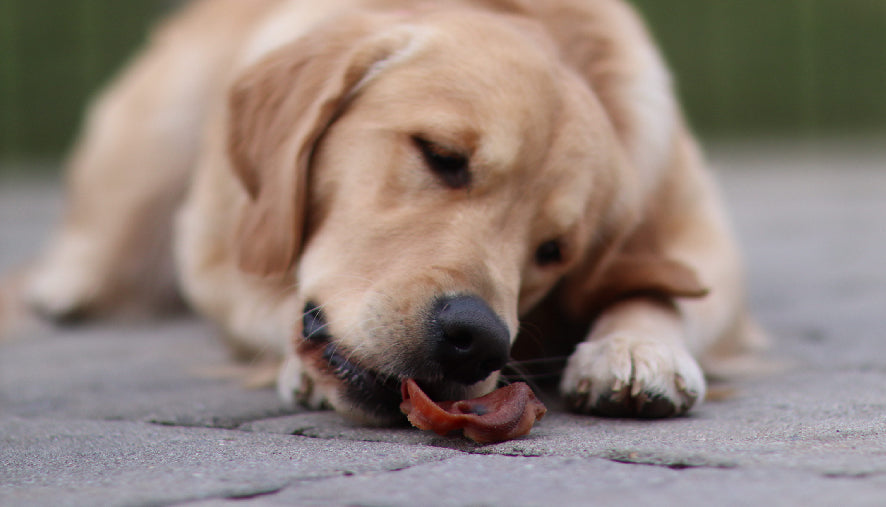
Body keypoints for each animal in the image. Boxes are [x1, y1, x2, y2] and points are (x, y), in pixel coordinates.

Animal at [13, 0, 764, 424]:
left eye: (555, 251)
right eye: (441, 155)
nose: (478, 340)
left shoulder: (703, 236)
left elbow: (668, 288)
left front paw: (636, 348)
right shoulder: (217, 246)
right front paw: (301, 370)